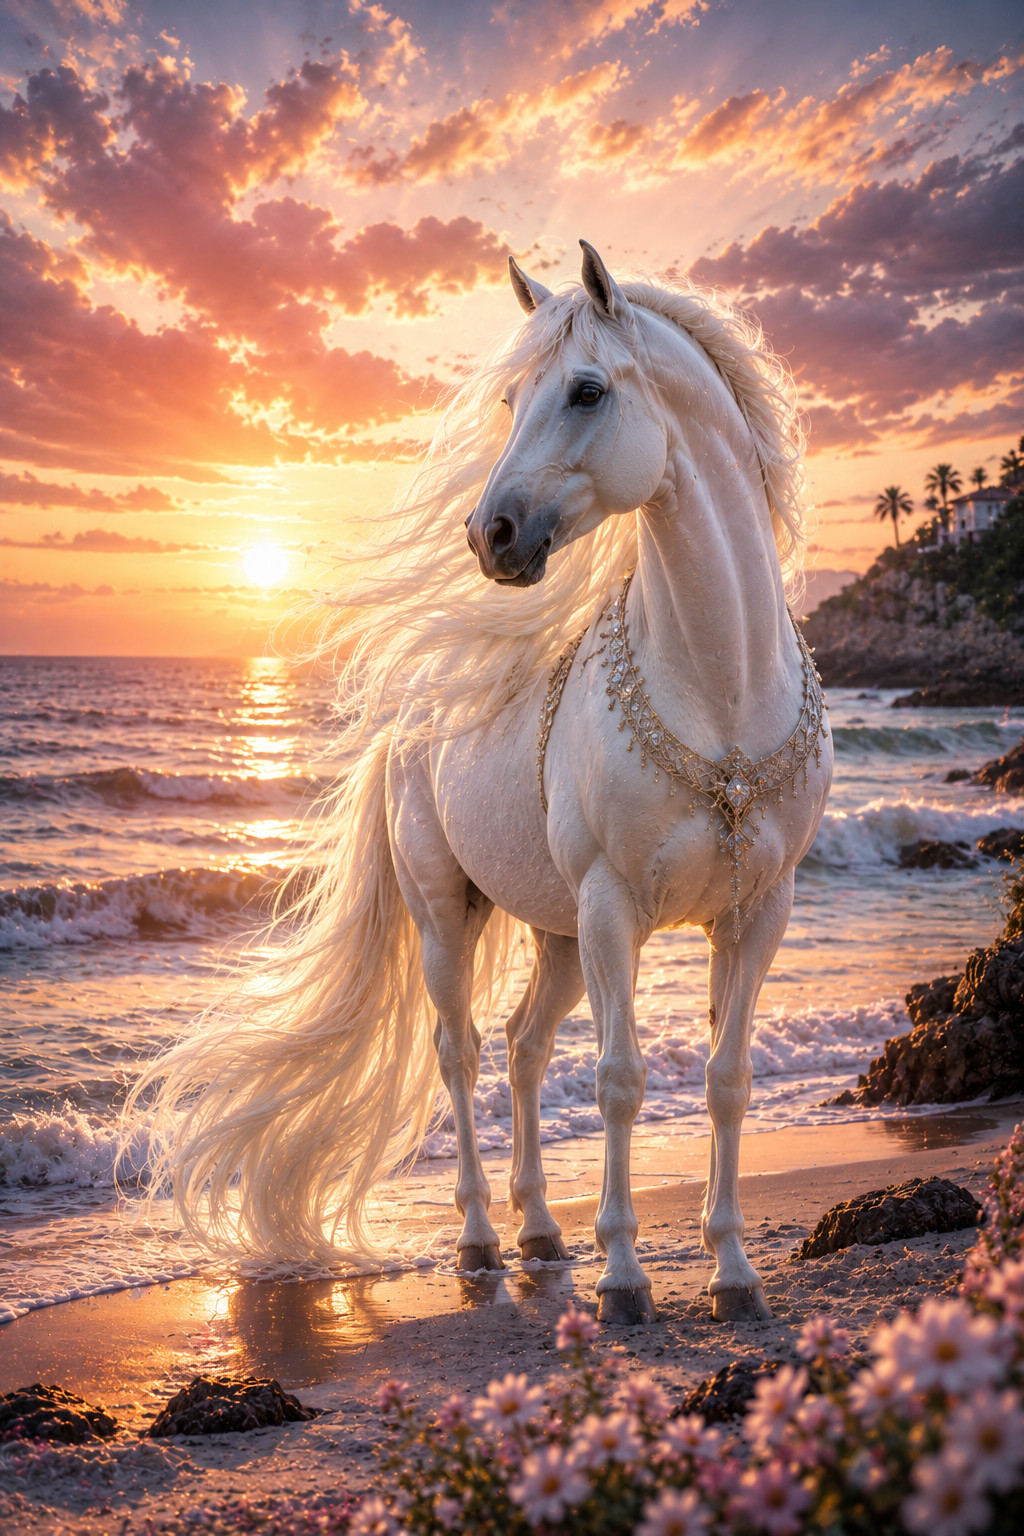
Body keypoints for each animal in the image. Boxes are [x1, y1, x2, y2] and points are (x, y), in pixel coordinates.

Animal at [134, 241, 832, 1326]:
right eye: (509, 402)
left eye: (586, 389)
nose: (489, 535)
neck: (719, 689)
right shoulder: (611, 908)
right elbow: (621, 1079)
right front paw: (624, 1279)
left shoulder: (759, 910)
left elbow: (726, 1079)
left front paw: (731, 1273)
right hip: (447, 912)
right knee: (459, 1050)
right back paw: (479, 1243)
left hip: (556, 934)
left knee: (522, 1046)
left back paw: (540, 1230)